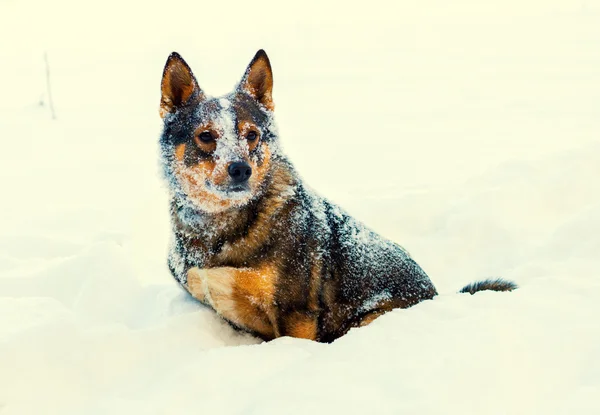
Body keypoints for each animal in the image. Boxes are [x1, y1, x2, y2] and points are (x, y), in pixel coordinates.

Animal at [158, 48, 516, 342]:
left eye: (252, 135)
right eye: (206, 136)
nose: (240, 169)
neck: (219, 225)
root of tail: (440, 297)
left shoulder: (297, 312)